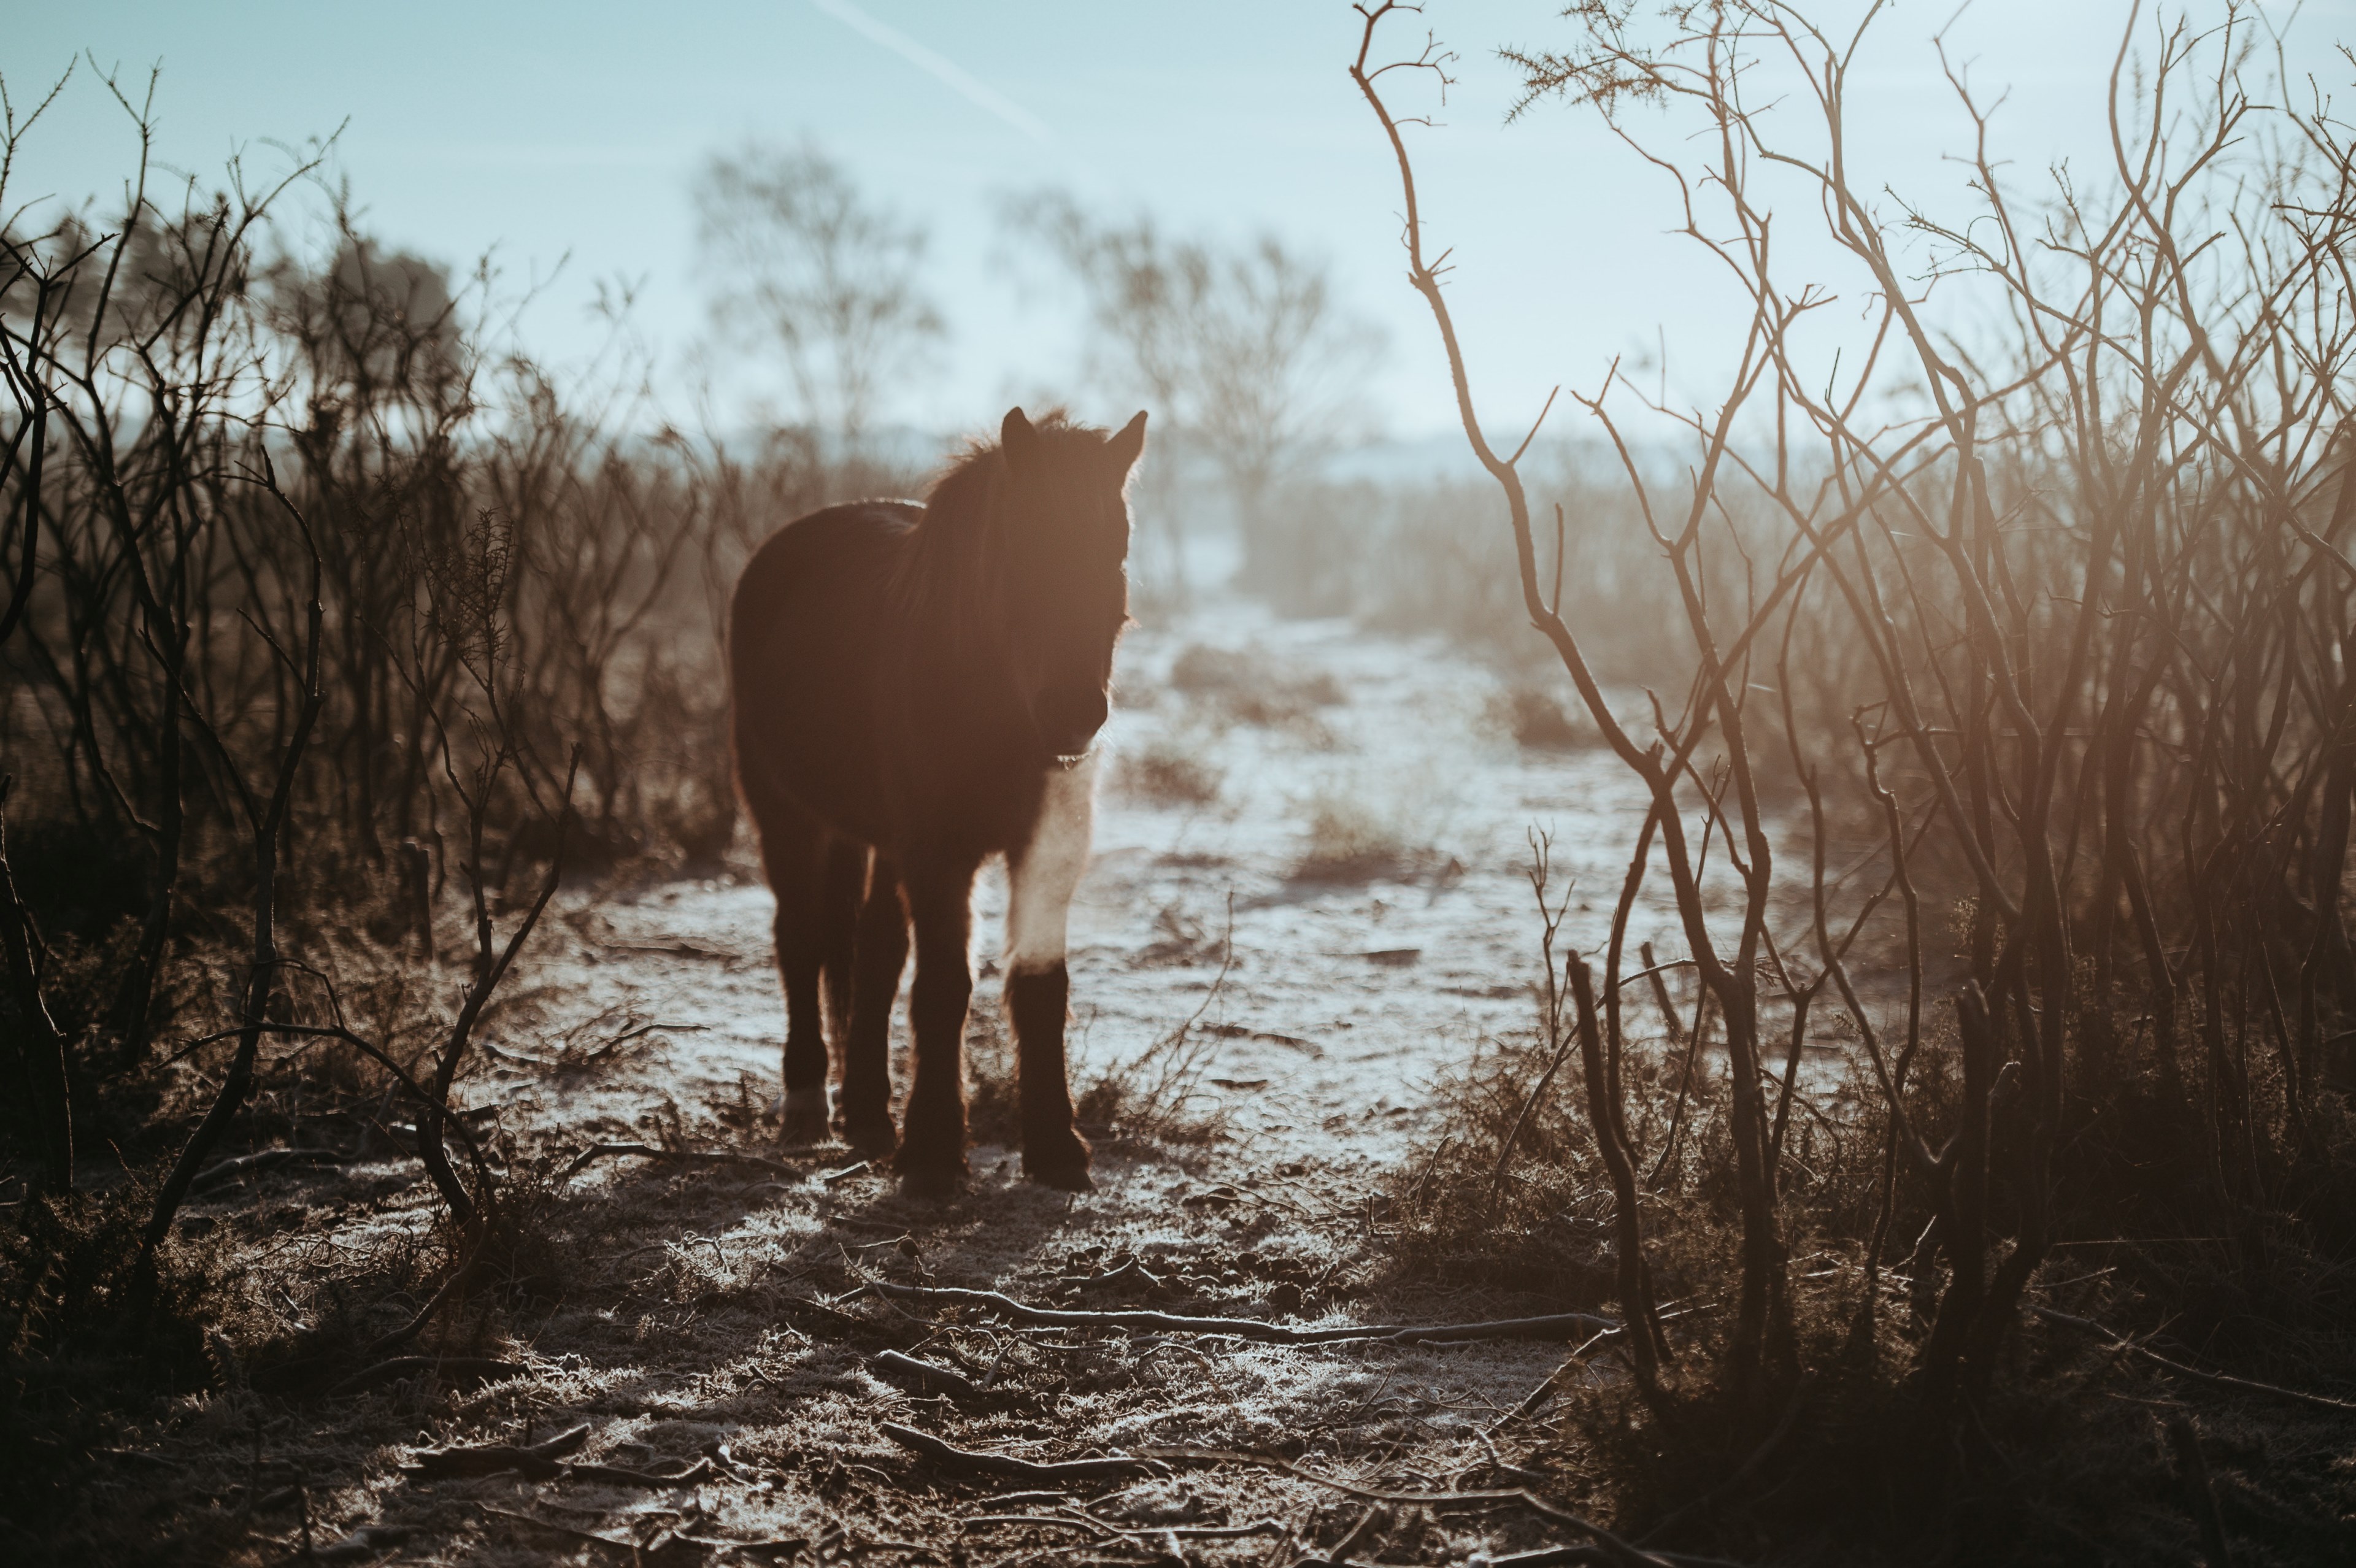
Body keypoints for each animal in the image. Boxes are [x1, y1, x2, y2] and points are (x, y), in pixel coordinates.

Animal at [728, 406, 1146, 1194]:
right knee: (800, 940)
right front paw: (931, 1150)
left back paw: (866, 1112)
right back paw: (806, 1103)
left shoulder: (1046, 850)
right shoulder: (939, 853)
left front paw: (1055, 1147)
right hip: (787, 816)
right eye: (1022, 547)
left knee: (873, 948)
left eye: (1116, 550)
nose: (1074, 712)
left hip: (875, 838)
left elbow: (1039, 986)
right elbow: (945, 987)